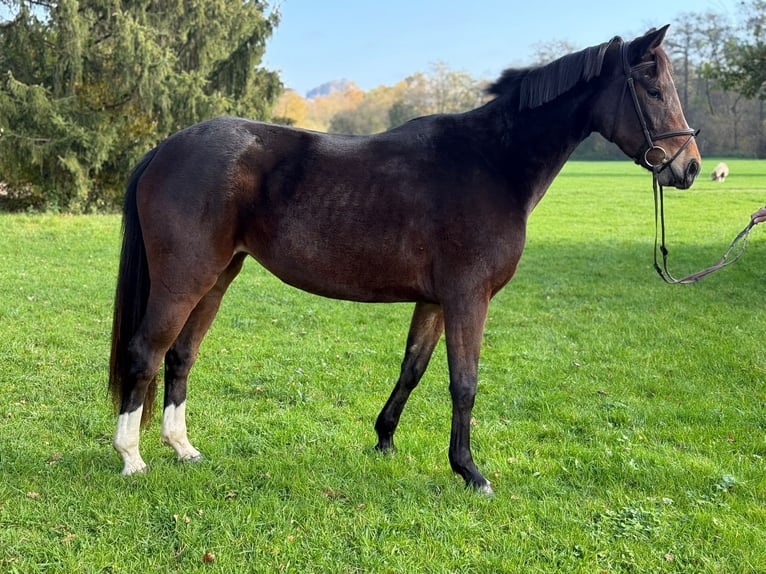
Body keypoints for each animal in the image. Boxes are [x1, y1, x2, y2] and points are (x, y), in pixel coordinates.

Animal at [108, 25, 704, 496]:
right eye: (653, 90)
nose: (690, 166)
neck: (494, 162)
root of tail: (166, 148)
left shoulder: (435, 301)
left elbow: (413, 368)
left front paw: (384, 439)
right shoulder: (468, 298)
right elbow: (464, 382)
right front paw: (469, 471)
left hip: (216, 278)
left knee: (180, 355)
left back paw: (182, 448)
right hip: (184, 278)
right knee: (146, 350)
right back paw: (131, 457)